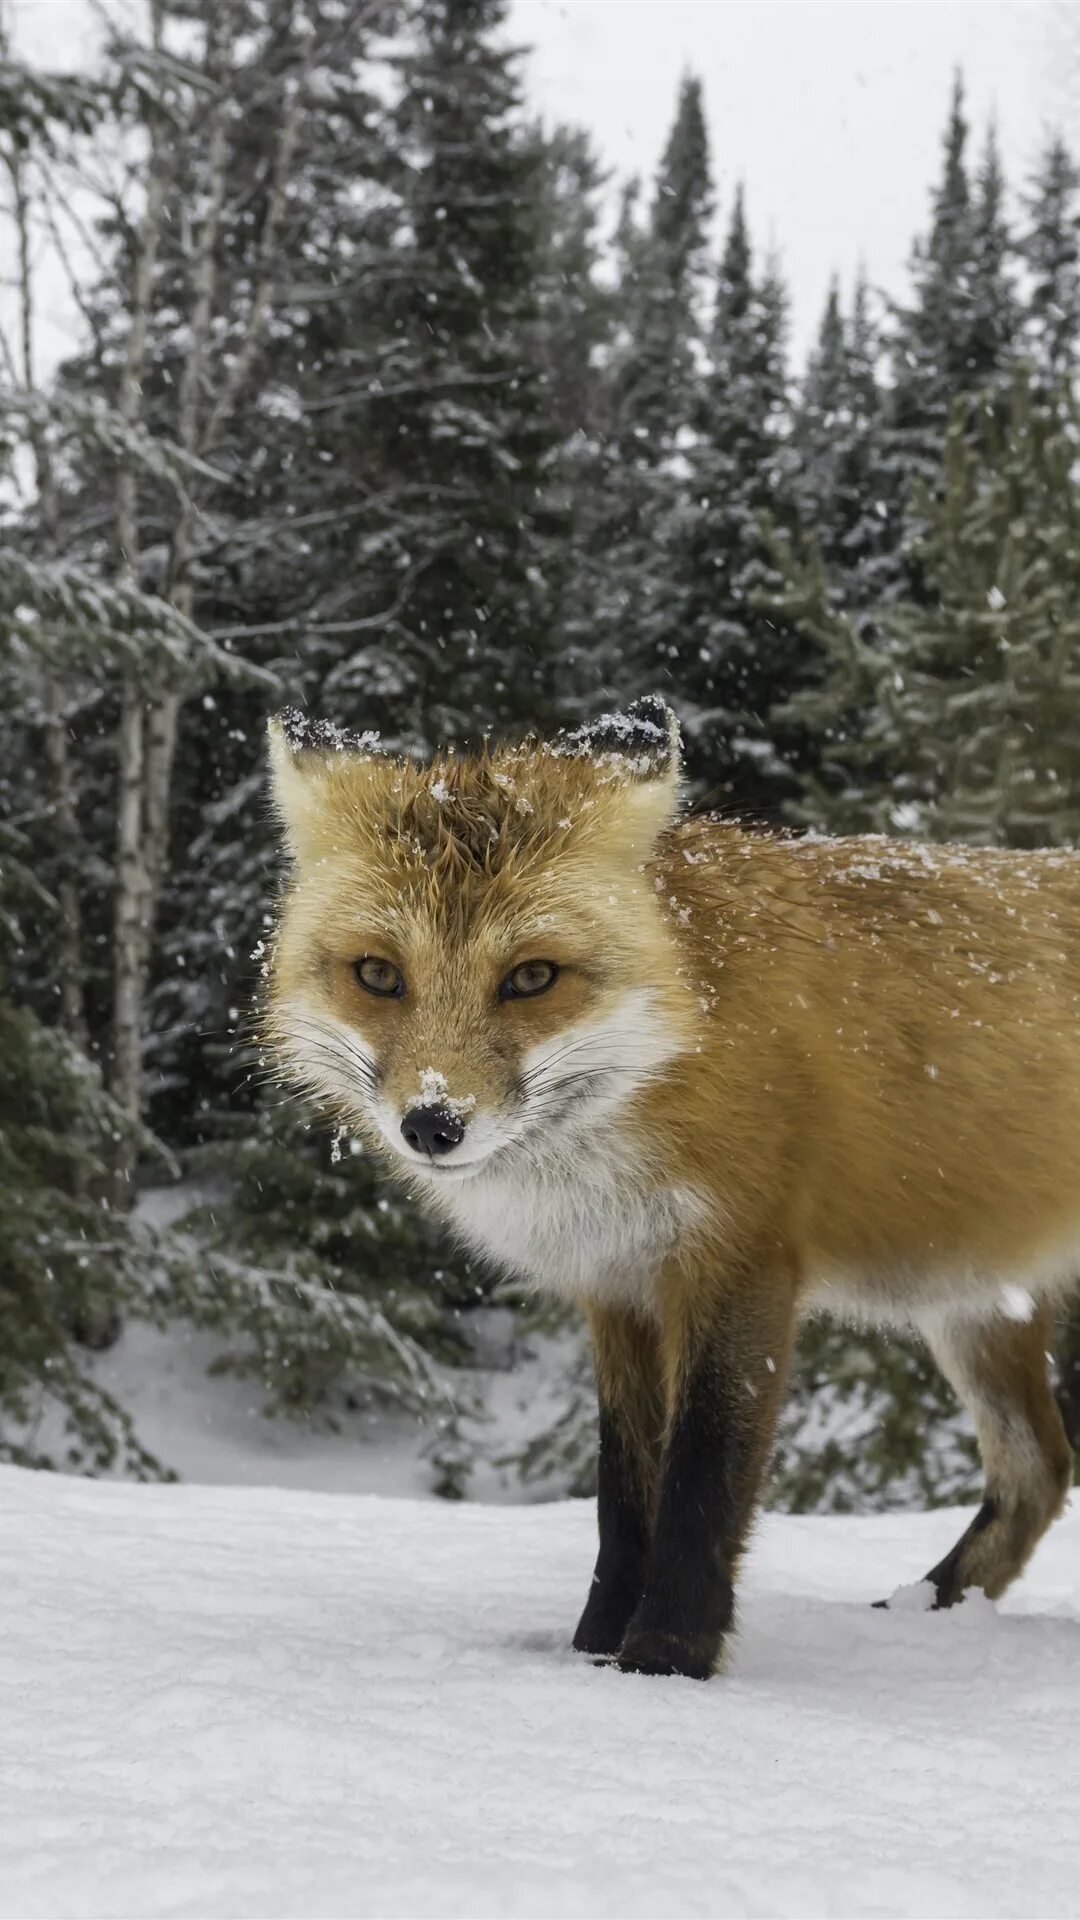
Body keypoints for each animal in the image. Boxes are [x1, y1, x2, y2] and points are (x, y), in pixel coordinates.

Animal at [263, 695, 1076, 1681]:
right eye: (379, 975)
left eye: (531, 977)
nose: (433, 1122)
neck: (681, 1038)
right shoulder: (618, 1287)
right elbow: (625, 1498)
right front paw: (590, 1654)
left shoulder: (740, 1264)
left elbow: (701, 1482)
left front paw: (666, 1664)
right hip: (977, 1308)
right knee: (1040, 1471)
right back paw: (920, 1618)